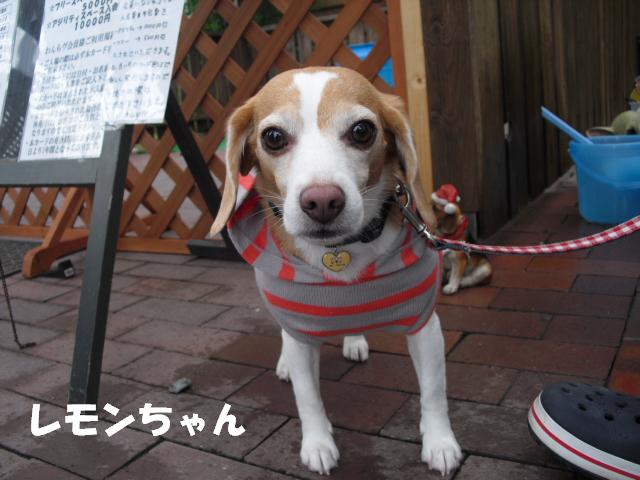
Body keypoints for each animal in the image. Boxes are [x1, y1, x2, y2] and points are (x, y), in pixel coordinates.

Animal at [210, 66, 462, 476]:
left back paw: (353, 338)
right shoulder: (299, 331)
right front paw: (317, 444)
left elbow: (434, 391)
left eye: (362, 131)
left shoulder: (425, 325)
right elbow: (307, 396)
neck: (340, 251)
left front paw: (440, 443)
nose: (323, 201)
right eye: (273, 137)